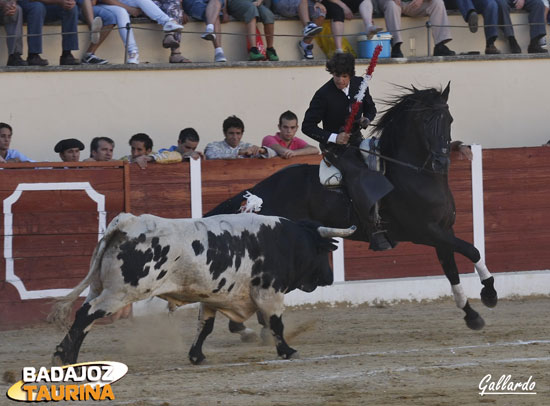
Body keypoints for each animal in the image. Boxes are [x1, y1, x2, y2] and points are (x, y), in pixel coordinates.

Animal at [50, 213, 358, 364]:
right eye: (322, 251)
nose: (329, 277)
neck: (287, 241)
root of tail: (128, 223)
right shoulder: (269, 293)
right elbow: (276, 324)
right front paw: (287, 351)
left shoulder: (211, 297)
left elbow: (205, 327)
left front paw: (196, 356)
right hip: (121, 293)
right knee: (86, 316)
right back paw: (66, 357)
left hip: (99, 288)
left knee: (84, 316)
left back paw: (66, 356)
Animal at [207, 83, 500, 334]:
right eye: (426, 121)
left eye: (449, 119)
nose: (441, 161)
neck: (413, 173)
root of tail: (260, 192)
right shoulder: (426, 232)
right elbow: (472, 250)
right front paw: (489, 293)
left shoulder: (443, 231)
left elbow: (452, 269)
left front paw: (472, 315)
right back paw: (242, 325)